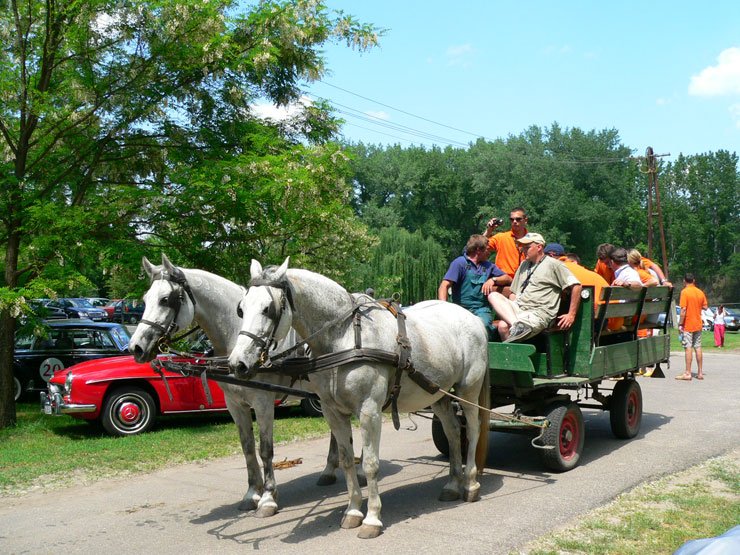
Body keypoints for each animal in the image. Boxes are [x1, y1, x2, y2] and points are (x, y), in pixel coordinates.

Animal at [129, 254, 358, 520]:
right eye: (145, 299)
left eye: (165, 299)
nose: (135, 347)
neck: (235, 337)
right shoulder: (235, 404)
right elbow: (247, 448)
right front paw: (251, 493)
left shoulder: (263, 402)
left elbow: (265, 450)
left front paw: (268, 498)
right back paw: (329, 470)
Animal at [228, 260, 488, 540]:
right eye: (241, 309)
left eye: (268, 309)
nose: (237, 364)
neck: (343, 339)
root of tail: (472, 318)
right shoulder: (332, 412)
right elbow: (346, 460)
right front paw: (353, 511)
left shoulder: (369, 410)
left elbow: (371, 464)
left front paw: (372, 518)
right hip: (437, 393)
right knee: (453, 432)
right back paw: (452, 484)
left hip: (468, 390)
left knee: (472, 429)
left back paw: (471, 483)